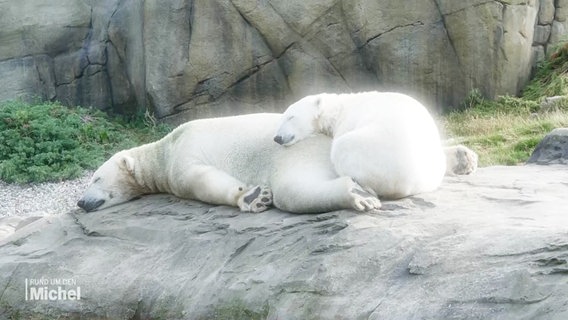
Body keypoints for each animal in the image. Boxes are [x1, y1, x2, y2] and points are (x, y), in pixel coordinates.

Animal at [77, 114, 382, 214]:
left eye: (96, 178)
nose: (80, 201)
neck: (164, 149)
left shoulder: (184, 156)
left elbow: (202, 181)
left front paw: (254, 195)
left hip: (301, 153)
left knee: (293, 190)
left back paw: (358, 194)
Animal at [276, 91, 448, 199]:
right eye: (282, 118)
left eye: (291, 117)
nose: (277, 138)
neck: (339, 108)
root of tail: (409, 183)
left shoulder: (346, 123)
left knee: (340, 149)